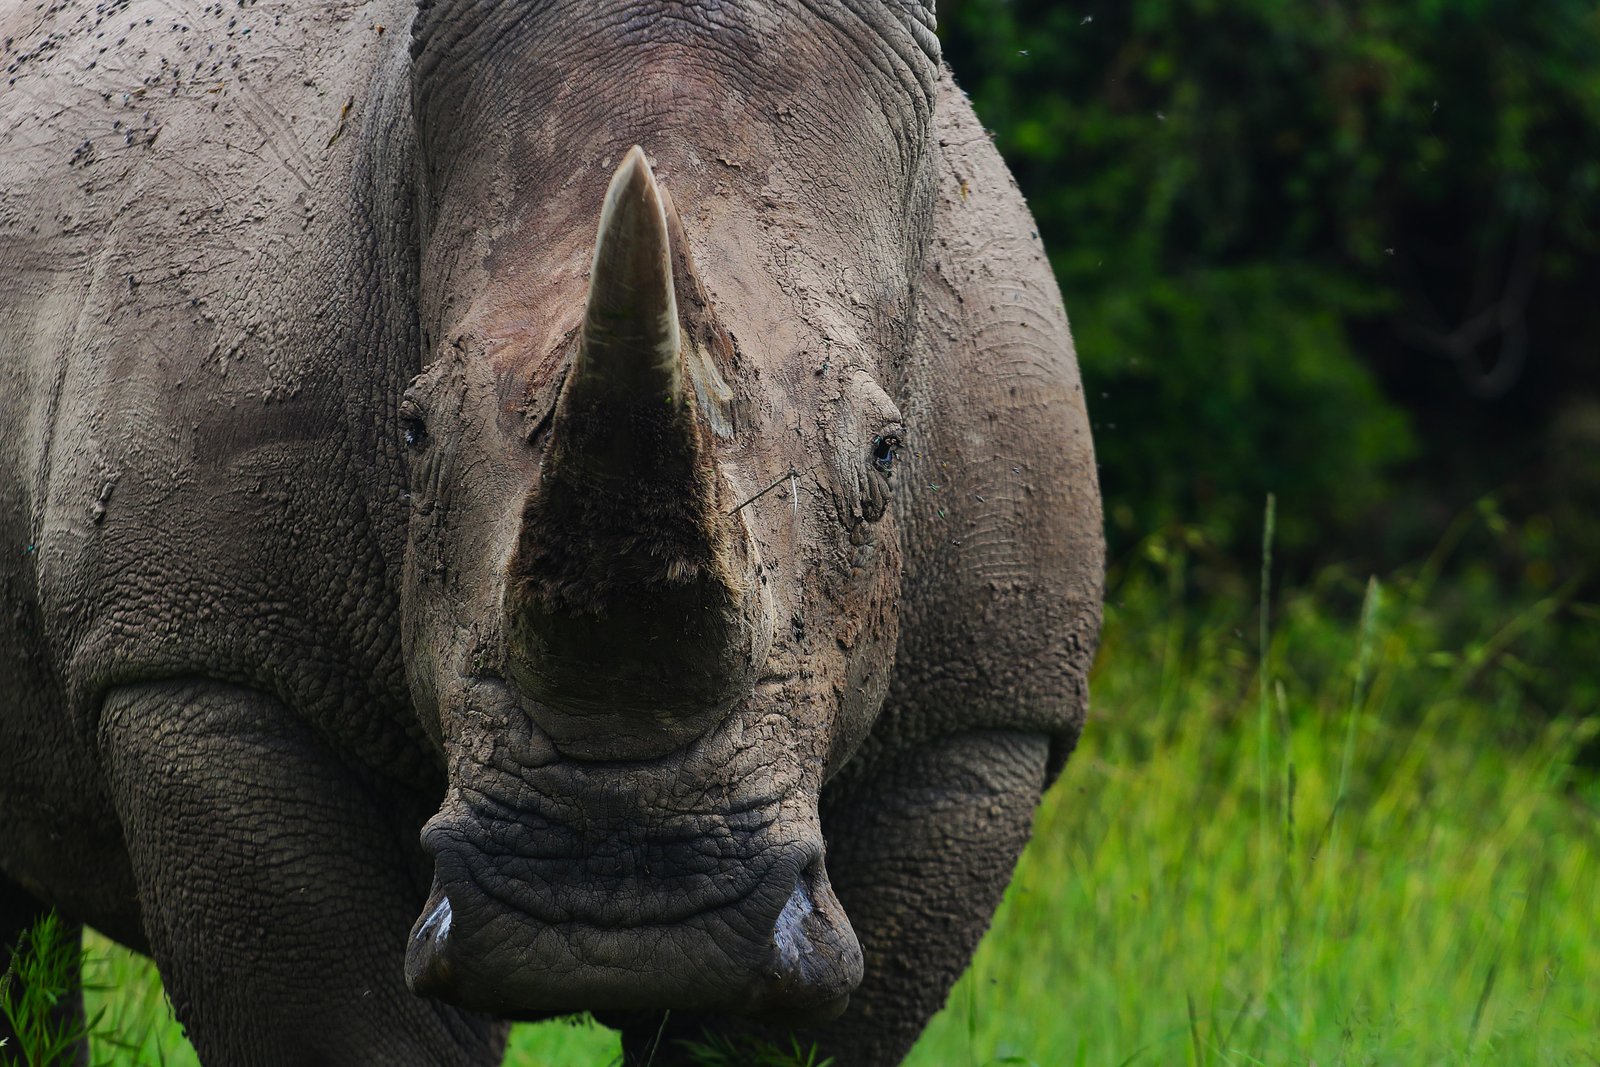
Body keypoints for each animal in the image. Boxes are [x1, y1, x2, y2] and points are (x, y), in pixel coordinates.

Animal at [0, 0, 1102, 1062]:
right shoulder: (203, 658)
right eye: (412, 430)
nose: (624, 918)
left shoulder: (977, 717)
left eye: (885, 451)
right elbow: (352, 1027)